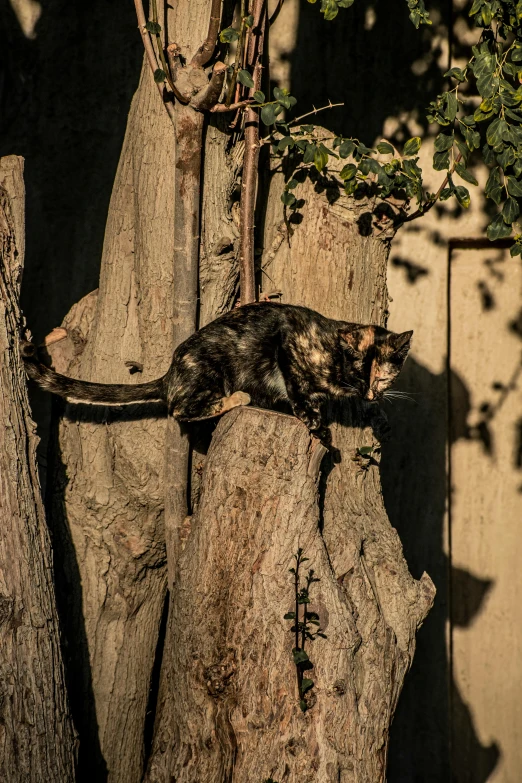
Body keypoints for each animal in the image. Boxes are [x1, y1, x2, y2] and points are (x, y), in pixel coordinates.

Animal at [19, 302, 410, 434]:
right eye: (358, 373)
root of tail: (169, 375)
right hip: (212, 369)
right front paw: (311, 416)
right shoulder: (286, 339)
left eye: (382, 377)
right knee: (180, 409)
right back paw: (238, 398)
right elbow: (296, 384)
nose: (369, 394)